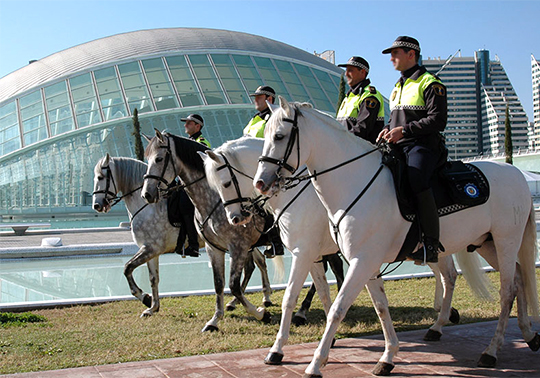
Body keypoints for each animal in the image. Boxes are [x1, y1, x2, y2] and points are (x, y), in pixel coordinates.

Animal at [202, 136, 480, 372]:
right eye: (215, 187)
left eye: (226, 183)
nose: (235, 218)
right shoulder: (314, 257)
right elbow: (325, 293)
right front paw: (329, 336)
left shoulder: (304, 254)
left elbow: (291, 298)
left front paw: (278, 349)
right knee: (447, 274)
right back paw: (442, 316)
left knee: (447, 276)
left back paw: (441, 319)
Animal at [254, 99, 540, 376]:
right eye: (265, 136)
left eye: (279, 136)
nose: (260, 183)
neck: (353, 182)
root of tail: (515, 173)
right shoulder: (363, 263)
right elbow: (380, 306)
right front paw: (388, 356)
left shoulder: (352, 259)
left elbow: (335, 307)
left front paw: (314, 363)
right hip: (486, 244)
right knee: (516, 279)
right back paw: (526, 334)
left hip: (506, 241)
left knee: (506, 290)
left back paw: (491, 350)